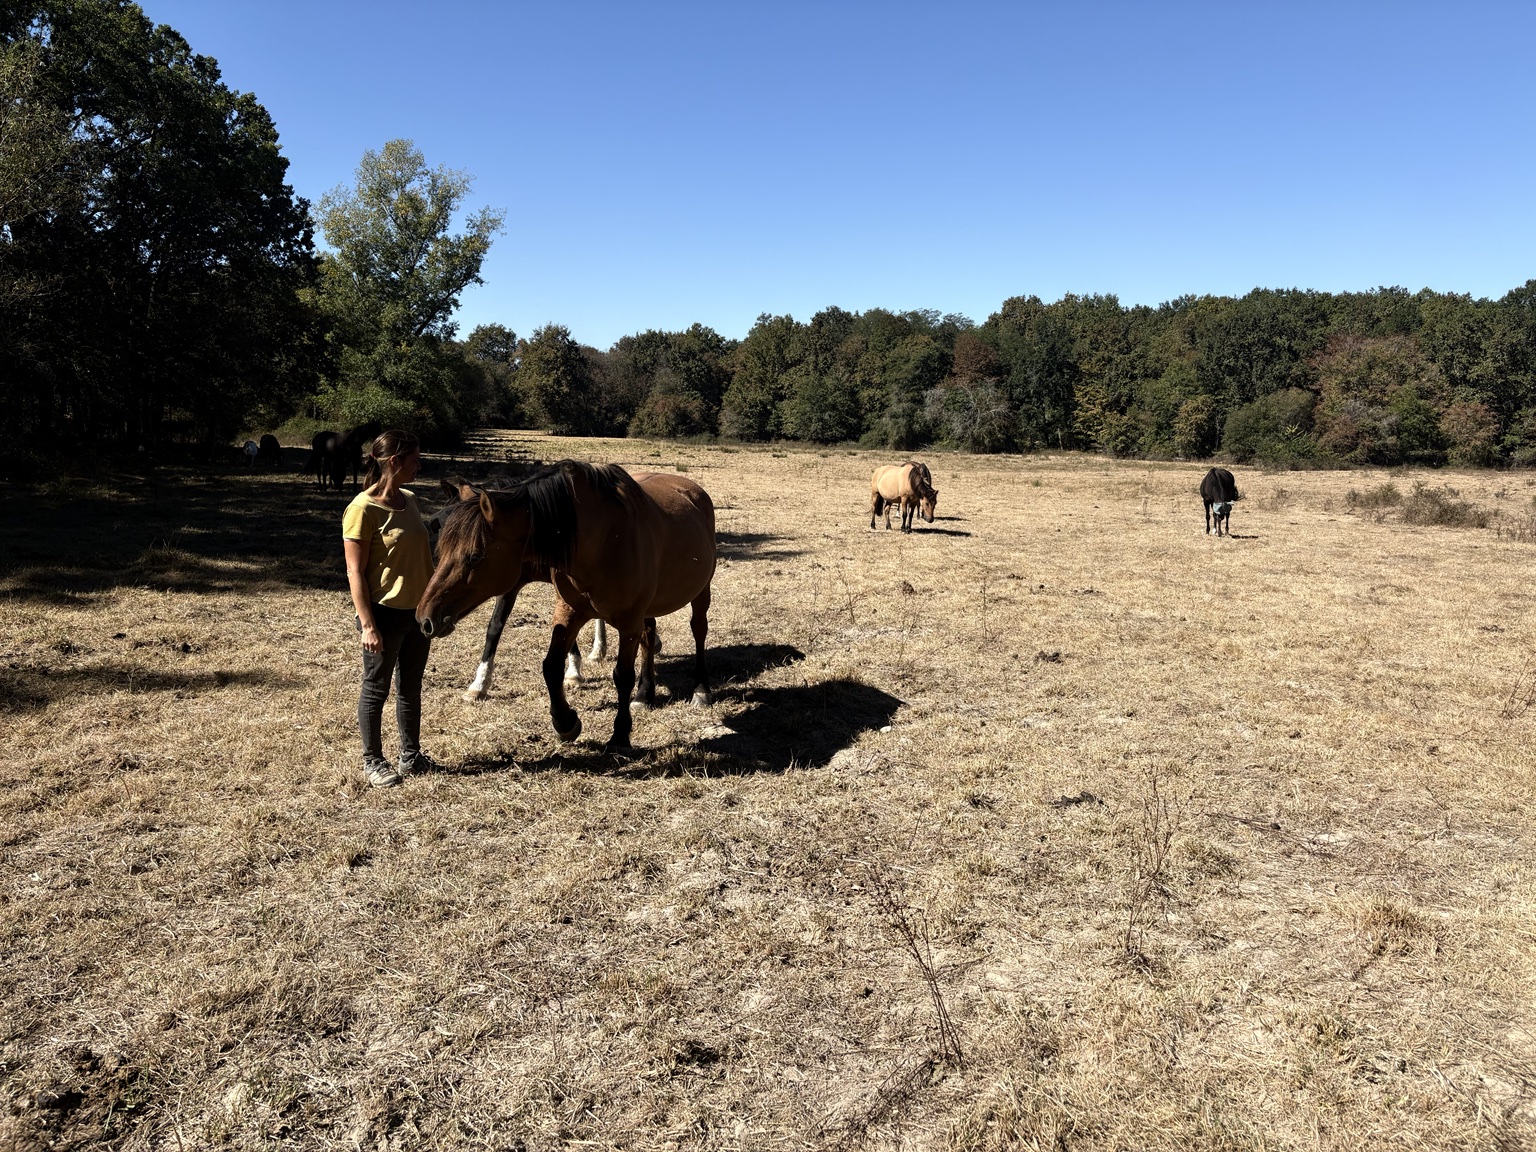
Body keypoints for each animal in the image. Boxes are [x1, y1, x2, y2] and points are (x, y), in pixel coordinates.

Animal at [425, 477, 611, 700]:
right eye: (441, 528)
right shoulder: (510, 586)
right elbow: (495, 627)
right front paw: (479, 684)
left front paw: (574, 673)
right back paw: (598, 651)